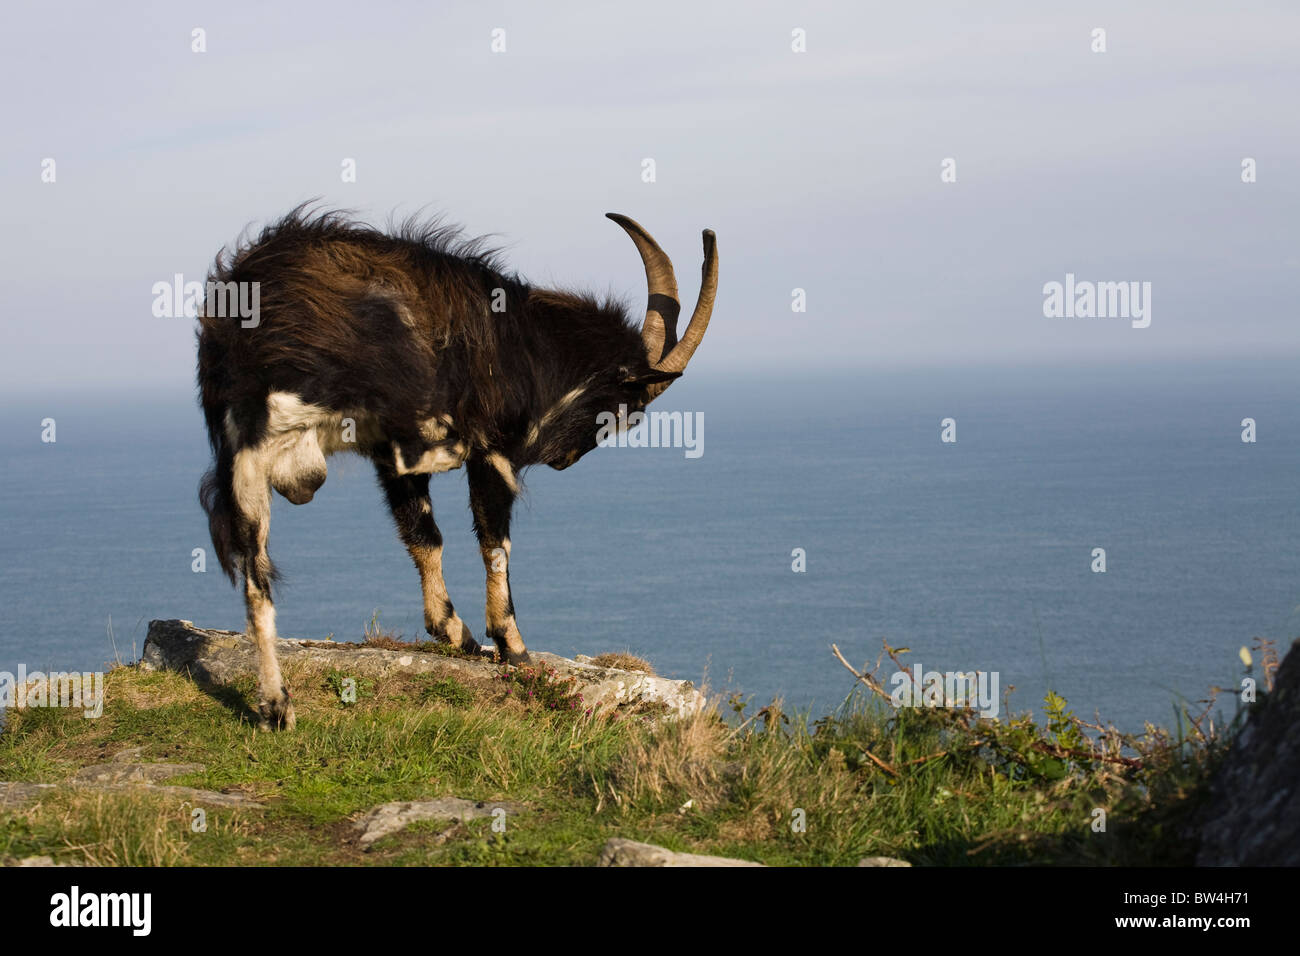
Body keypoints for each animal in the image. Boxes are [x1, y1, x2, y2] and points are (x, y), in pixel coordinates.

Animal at [197, 209, 717, 728]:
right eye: (622, 410)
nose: (563, 460)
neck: (528, 344)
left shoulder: (391, 468)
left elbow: (423, 535)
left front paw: (452, 630)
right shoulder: (494, 453)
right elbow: (495, 541)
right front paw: (511, 644)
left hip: (246, 453)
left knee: (255, 574)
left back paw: (275, 705)